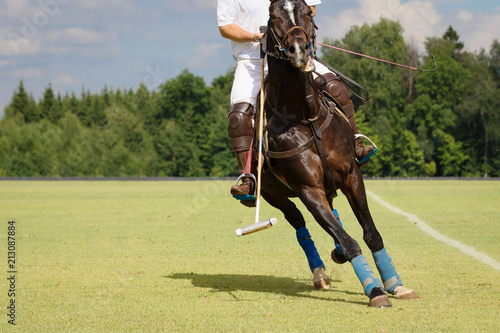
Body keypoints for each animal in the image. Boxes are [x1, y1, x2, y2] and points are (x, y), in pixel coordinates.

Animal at [252, 0, 420, 306]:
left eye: (308, 11)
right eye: (272, 16)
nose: (298, 49)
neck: (305, 115)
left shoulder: (351, 174)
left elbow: (371, 234)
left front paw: (396, 285)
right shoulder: (309, 189)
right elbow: (350, 241)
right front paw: (375, 290)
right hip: (272, 193)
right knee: (298, 220)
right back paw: (320, 273)